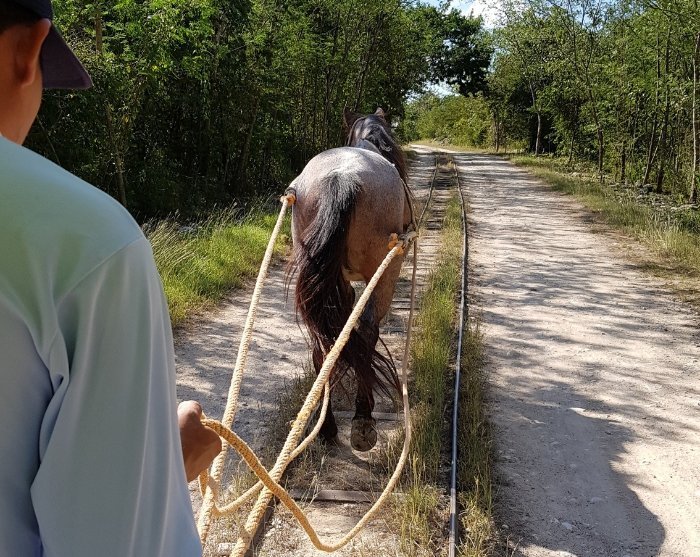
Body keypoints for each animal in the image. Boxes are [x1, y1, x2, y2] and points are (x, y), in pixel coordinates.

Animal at [287, 107, 413, 451]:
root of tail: (341, 178)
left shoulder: (337, 281)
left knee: (321, 344)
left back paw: (327, 426)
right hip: (385, 273)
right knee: (368, 330)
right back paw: (363, 421)